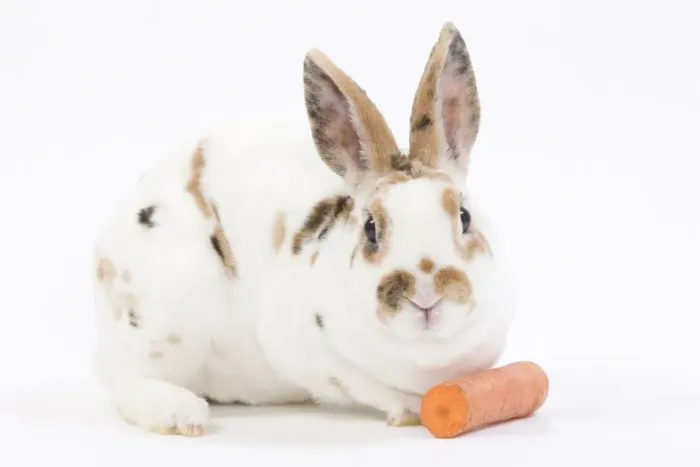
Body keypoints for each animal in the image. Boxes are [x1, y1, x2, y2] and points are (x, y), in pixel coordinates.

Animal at [91, 22, 516, 436]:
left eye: (464, 216)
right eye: (370, 228)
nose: (425, 292)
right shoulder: (309, 351)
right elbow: (362, 384)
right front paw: (409, 410)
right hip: (164, 319)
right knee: (131, 382)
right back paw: (184, 414)